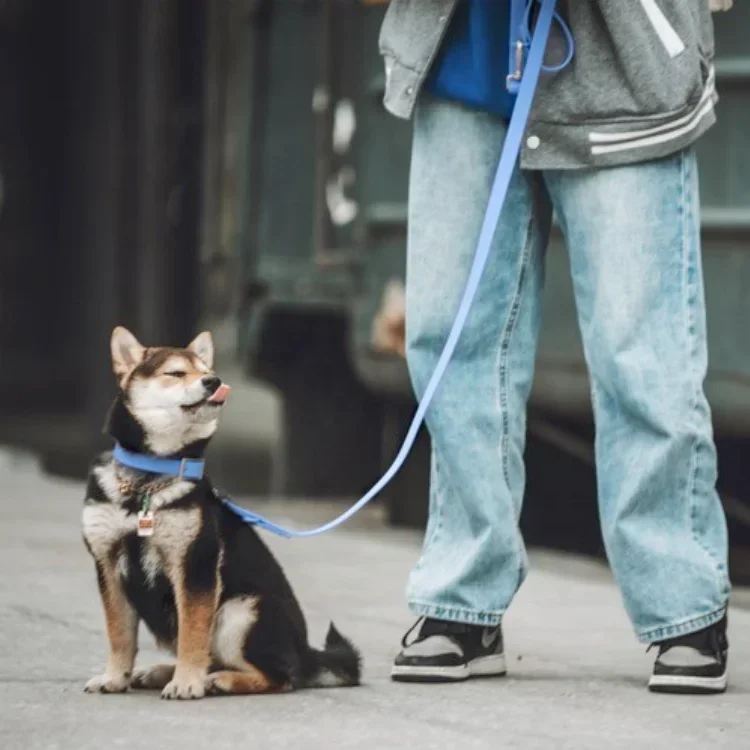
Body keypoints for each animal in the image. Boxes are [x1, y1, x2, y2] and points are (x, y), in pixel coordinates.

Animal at [81, 326, 362, 704]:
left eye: (207, 370)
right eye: (175, 373)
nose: (213, 381)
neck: (147, 483)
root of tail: (306, 654)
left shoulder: (194, 564)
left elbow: (193, 633)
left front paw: (187, 682)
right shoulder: (108, 564)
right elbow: (119, 634)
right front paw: (114, 678)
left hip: (240, 612)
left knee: (281, 677)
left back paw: (221, 680)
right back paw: (163, 672)